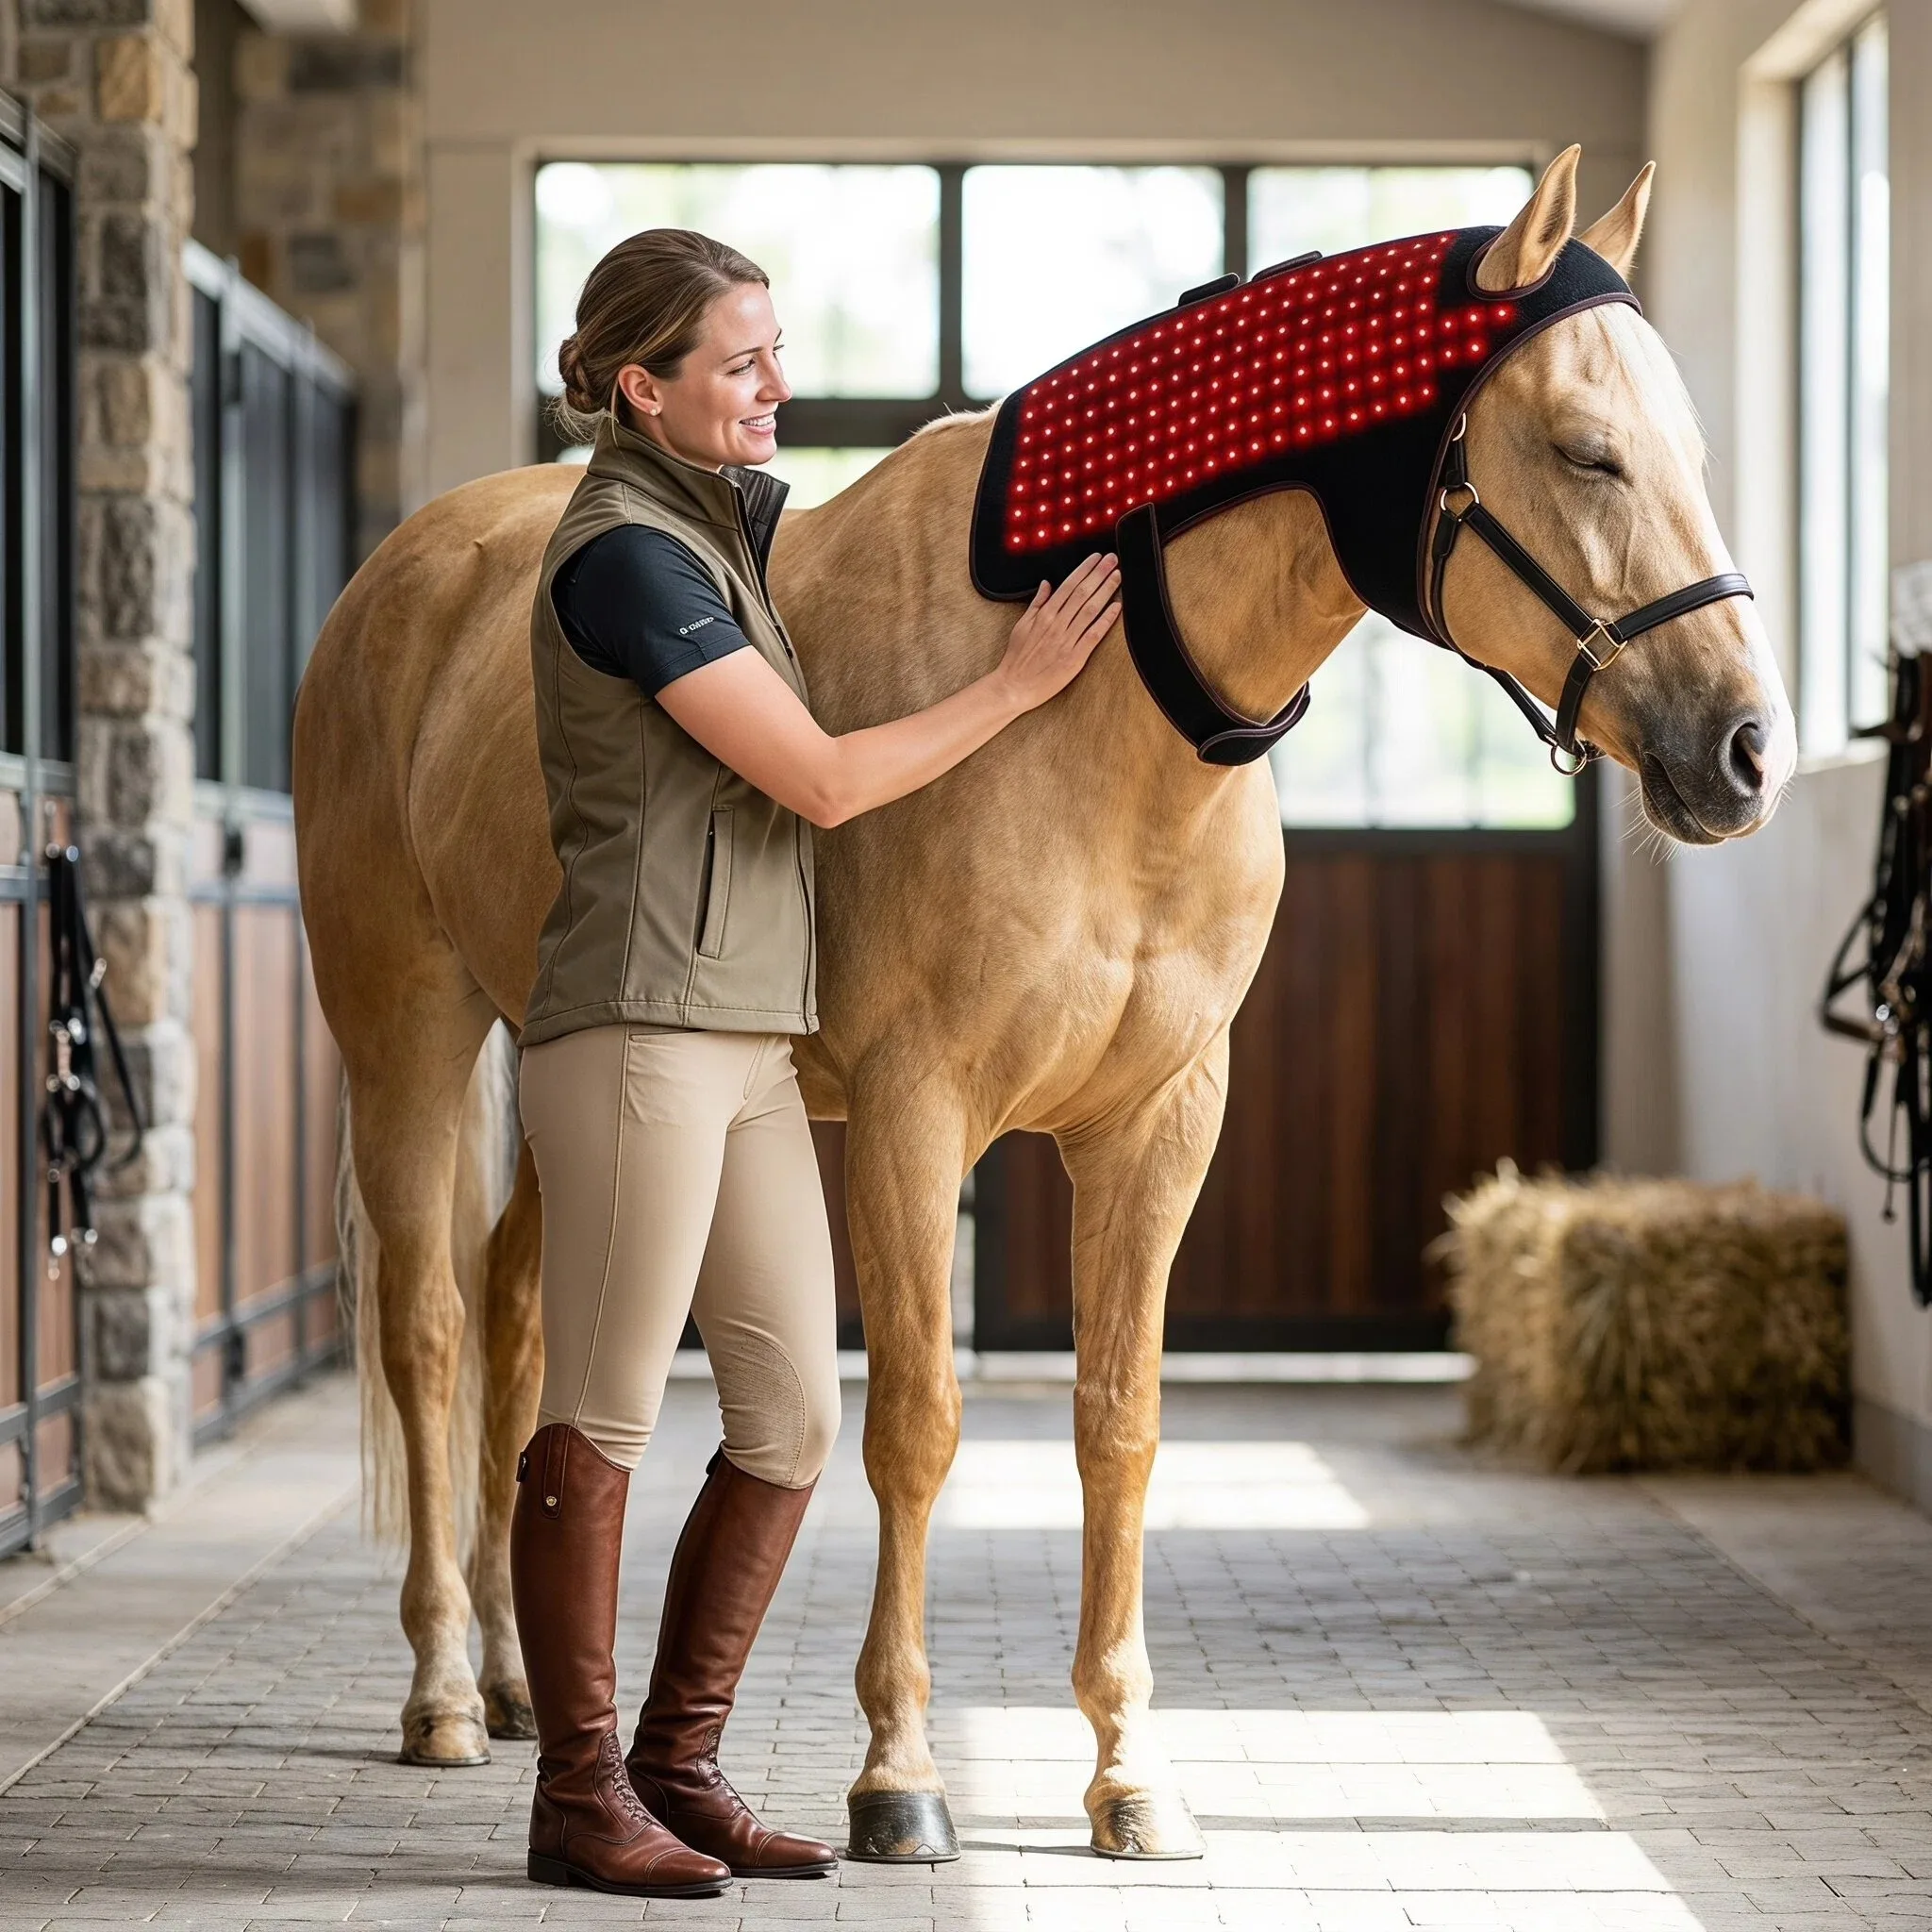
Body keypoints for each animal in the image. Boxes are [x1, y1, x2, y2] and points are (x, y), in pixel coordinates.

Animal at [292, 148, 1795, 1861]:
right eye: (1583, 449)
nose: (1746, 747)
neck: (1102, 703)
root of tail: (410, 572)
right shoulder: (909, 1112)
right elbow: (915, 1423)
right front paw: (900, 1773)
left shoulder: (1158, 1123)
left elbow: (1116, 1421)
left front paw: (1128, 1771)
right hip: (408, 1036)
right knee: (425, 1325)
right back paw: (439, 1691)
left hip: (580, 1070)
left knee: (523, 1318)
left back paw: (512, 1677)